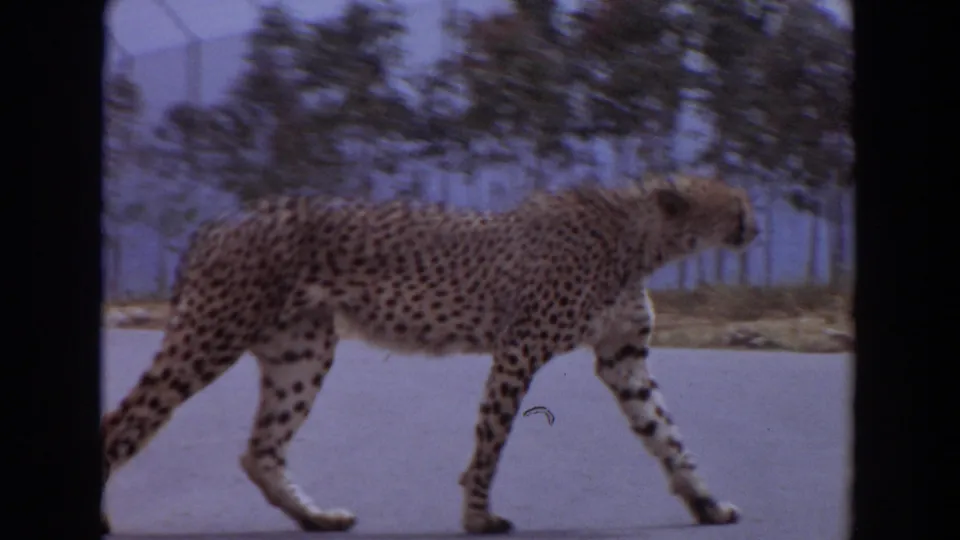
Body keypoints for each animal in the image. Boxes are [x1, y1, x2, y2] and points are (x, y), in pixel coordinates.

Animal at [100, 174, 760, 535]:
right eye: (739, 205)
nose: (755, 228)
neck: (641, 238)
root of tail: (223, 218)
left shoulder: (623, 359)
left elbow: (667, 434)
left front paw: (706, 503)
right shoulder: (519, 348)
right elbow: (491, 440)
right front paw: (478, 517)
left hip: (302, 349)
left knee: (261, 449)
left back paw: (317, 518)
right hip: (212, 333)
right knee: (124, 421)